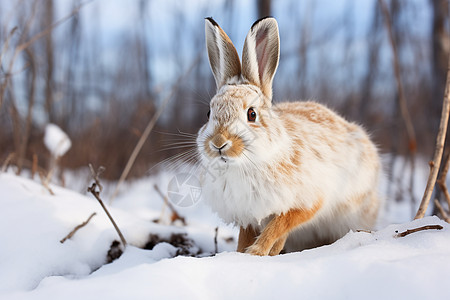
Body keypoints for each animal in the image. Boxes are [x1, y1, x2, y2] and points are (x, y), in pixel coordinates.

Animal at [197, 16, 380, 255]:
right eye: (209, 114)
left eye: (251, 114)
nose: (218, 143)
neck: (245, 164)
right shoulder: (247, 213)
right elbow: (247, 235)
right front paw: (241, 254)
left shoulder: (308, 201)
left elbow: (279, 225)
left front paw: (257, 252)